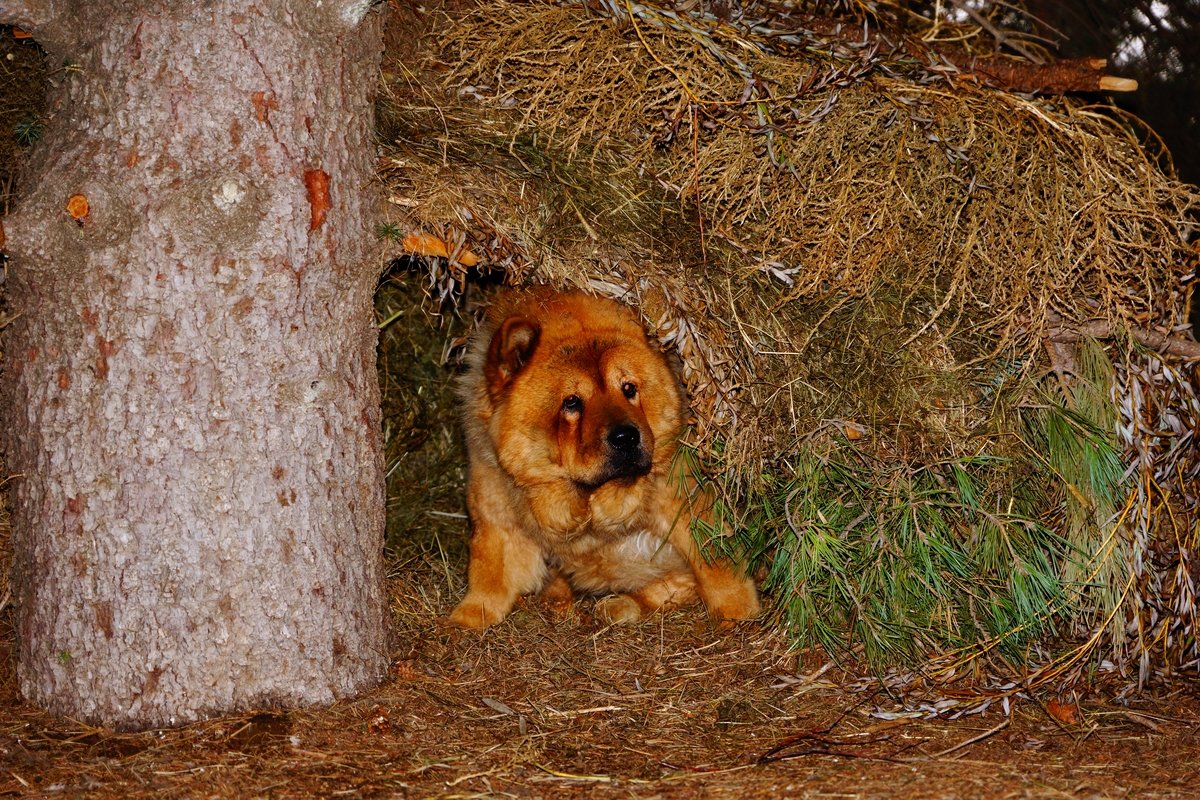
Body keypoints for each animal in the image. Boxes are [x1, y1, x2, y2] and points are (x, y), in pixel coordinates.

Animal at [446, 289, 763, 633]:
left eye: (629, 389)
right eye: (572, 403)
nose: (626, 437)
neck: (587, 505)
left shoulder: (685, 499)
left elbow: (715, 561)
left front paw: (738, 613)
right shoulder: (497, 509)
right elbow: (490, 569)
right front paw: (467, 618)